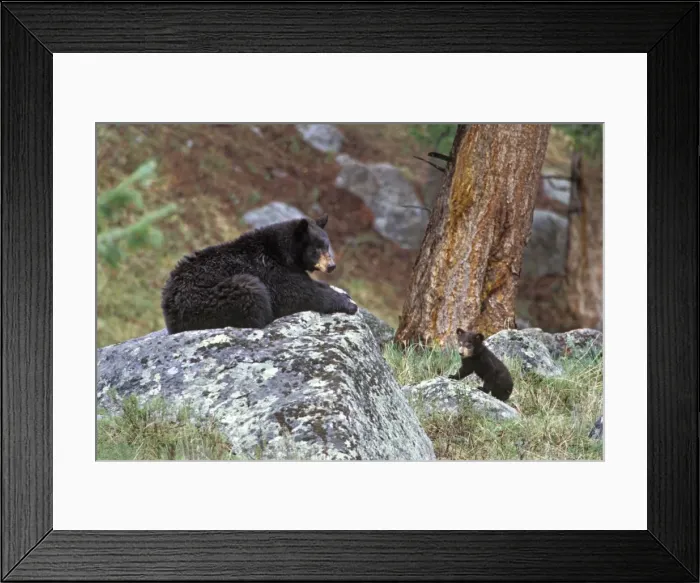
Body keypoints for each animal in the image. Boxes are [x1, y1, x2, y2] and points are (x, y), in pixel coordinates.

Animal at [160, 214, 358, 334]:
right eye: (316, 249)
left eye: (327, 246)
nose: (331, 266)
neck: (280, 253)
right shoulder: (269, 270)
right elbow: (296, 293)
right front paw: (346, 303)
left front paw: (340, 291)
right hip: (215, 298)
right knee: (252, 295)